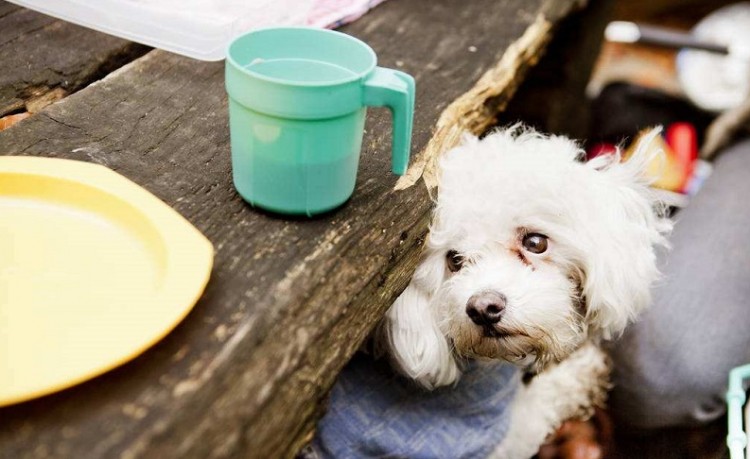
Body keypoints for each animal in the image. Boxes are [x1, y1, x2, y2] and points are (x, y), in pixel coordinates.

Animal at [376, 126, 676, 459]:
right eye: (454, 260)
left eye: (535, 242)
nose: (483, 309)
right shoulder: (500, 440)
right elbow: (542, 401)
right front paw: (581, 371)